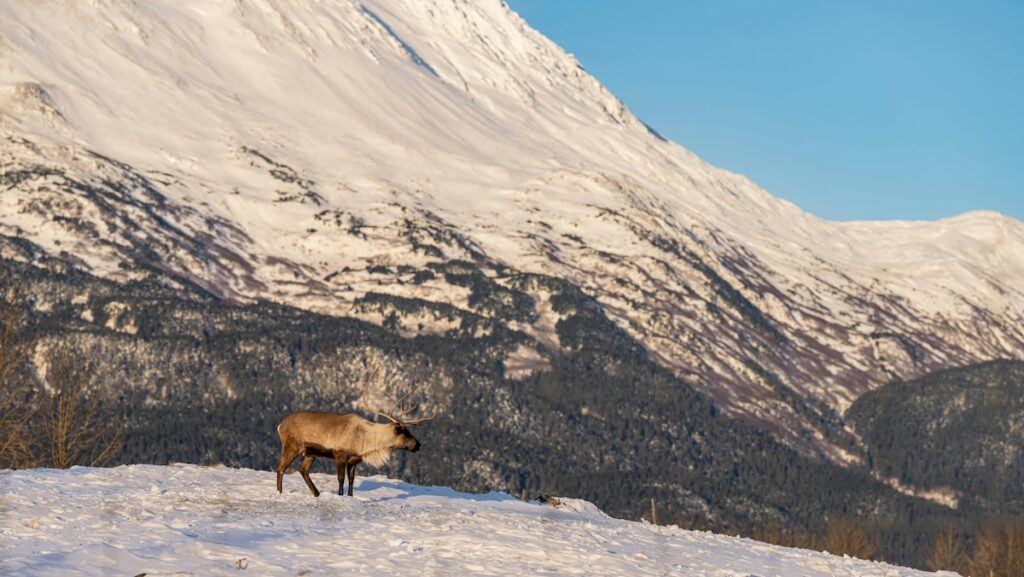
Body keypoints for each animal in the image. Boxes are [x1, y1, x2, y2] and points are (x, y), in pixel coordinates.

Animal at [275, 374, 434, 497]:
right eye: (405, 432)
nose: (418, 445)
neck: (367, 442)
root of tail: (280, 425)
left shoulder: (354, 460)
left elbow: (351, 480)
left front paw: (350, 496)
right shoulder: (340, 455)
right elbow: (341, 479)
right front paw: (340, 496)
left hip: (310, 452)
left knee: (303, 470)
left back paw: (317, 493)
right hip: (292, 446)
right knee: (281, 467)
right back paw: (279, 493)